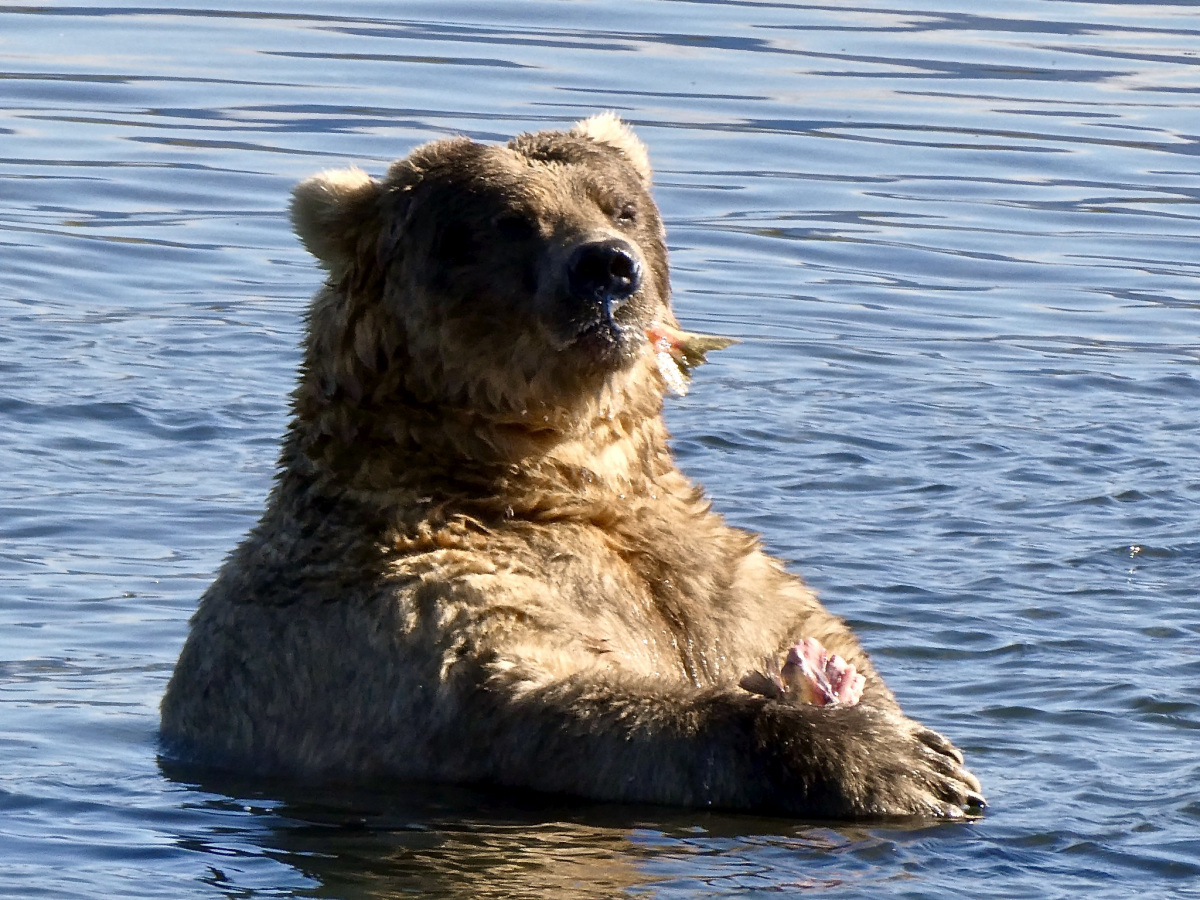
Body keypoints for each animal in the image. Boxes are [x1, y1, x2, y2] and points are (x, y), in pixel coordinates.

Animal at [159, 111, 984, 816]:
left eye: (622, 209)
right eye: (511, 222)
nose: (608, 269)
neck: (554, 480)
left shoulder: (709, 571)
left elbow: (792, 631)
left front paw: (908, 734)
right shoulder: (402, 605)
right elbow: (551, 696)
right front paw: (902, 764)